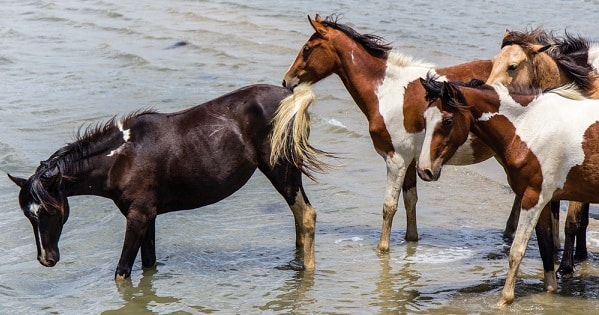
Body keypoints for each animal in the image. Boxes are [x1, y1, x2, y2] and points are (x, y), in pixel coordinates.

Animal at [8, 84, 318, 282]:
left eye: (51, 210)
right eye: (28, 215)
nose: (46, 258)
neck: (121, 158)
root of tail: (292, 97)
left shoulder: (139, 217)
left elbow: (122, 272)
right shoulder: (149, 217)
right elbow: (148, 263)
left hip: (281, 169)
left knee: (306, 215)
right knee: (299, 217)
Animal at [274, 14, 502, 254]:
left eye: (307, 49)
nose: (286, 80)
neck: (387, 91)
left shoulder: (397, 159)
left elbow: (389, 205)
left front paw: (382, 248)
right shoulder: (411, 161)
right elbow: (410, 200)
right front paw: (411, 239)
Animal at [418, 74, 599, 306]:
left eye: (448, 121)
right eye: (425, 119)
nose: (424, 170)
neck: (529, 126)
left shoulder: (533, 199)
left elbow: (517, 250)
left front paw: (505, 299)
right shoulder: (541, 200)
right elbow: (545, 247)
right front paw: (549, 291)